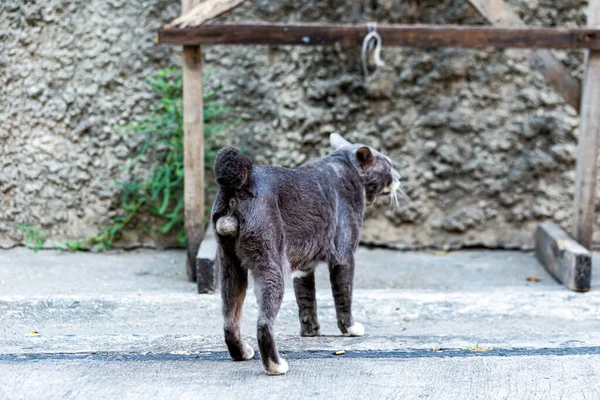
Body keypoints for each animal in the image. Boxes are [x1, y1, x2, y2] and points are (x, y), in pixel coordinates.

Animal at [212, 134, 404, 376]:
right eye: (388, 165)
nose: (400, 177)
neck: (345, 165)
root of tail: (240, 184)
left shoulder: (304, 267)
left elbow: (306, 297)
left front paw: (310, 331)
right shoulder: (344, 255)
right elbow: (344, 295)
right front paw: (349, 328)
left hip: (229, 265)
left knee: (229, 320)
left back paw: (242, 353)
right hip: (270, 263)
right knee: (264, 323)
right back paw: (276, 365)